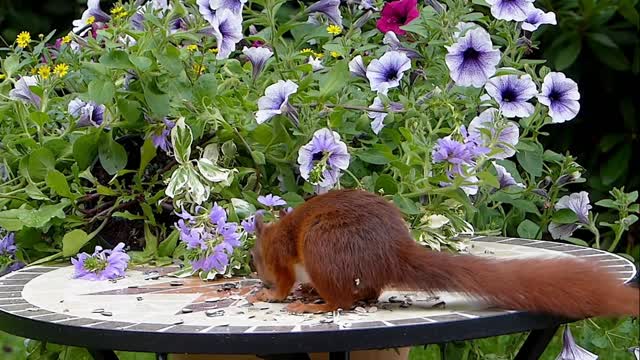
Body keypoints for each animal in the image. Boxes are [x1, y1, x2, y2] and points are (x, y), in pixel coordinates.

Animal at [249, 188, 640, 318]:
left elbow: (284, 282)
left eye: (254, 258)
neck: (275, 234)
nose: (257, 278)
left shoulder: (283, 258)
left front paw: (271, 295)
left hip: (322, 248)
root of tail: (392, 253)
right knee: (366, 292)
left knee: (341, 300)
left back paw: (315, 305)